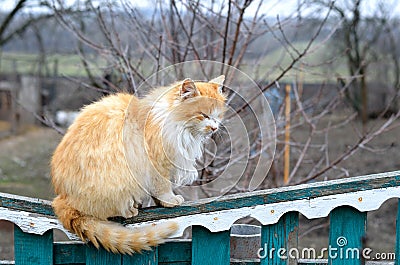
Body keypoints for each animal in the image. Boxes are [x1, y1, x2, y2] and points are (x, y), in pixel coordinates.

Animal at [50, 75, 225, 253]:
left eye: (218, 116)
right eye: (203, 115)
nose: (214, 128)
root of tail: (62, 197)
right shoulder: (157, 164)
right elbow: (162, 187)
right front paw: (170, 200)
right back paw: (129, 210)